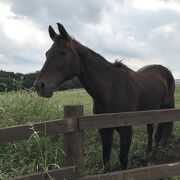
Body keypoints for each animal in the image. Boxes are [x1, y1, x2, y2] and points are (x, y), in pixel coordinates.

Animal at [33, 23, 174, 171]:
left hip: (165, 109)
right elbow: (106, 160)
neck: (112, 89)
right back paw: (146, 156)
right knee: (150, 130)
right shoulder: (104, 130)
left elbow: (123, 159)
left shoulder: (126, 130)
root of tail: (166, 71)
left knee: (158, 134)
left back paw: (152, 159)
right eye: (47, 53)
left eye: (63, 52)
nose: (39, 86)